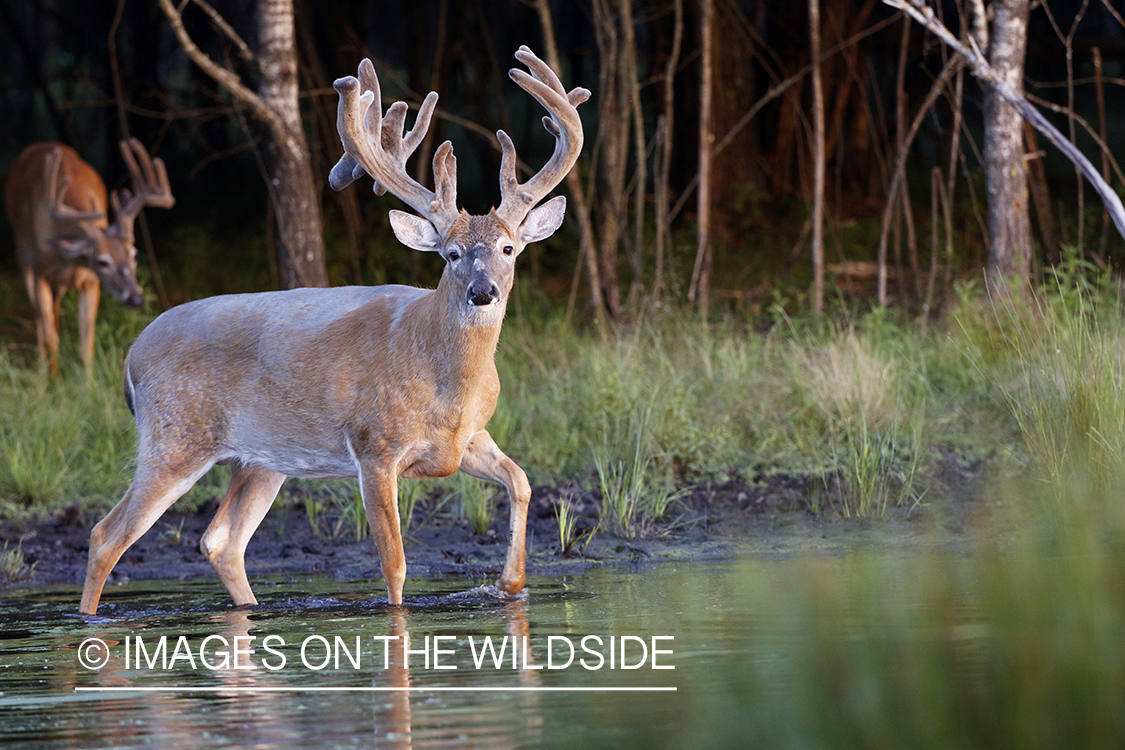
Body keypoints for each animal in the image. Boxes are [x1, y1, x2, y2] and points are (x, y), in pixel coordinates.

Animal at [3, 137, 174, 373]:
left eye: (134, 254)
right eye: (102, 262)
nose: (136, 298)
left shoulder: (91, 282)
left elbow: (86, 344)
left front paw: (87, 380)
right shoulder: (39, 271)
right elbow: (49, 335)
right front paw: (51, 379)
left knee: (54, 312)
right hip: (23, 254)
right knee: (41, 321)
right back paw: (43, 368)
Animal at [79, 49, 589, 620]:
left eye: (508, 249)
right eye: (451, 254)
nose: (484, 293)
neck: (445, 383)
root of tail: (133, 355)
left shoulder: (469, 438)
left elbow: (521, 482)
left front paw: (510, 584)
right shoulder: (374, 446)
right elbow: (395, 564)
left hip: (258, 460)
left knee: (221, 540)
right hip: (174, 438)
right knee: (106, 535)